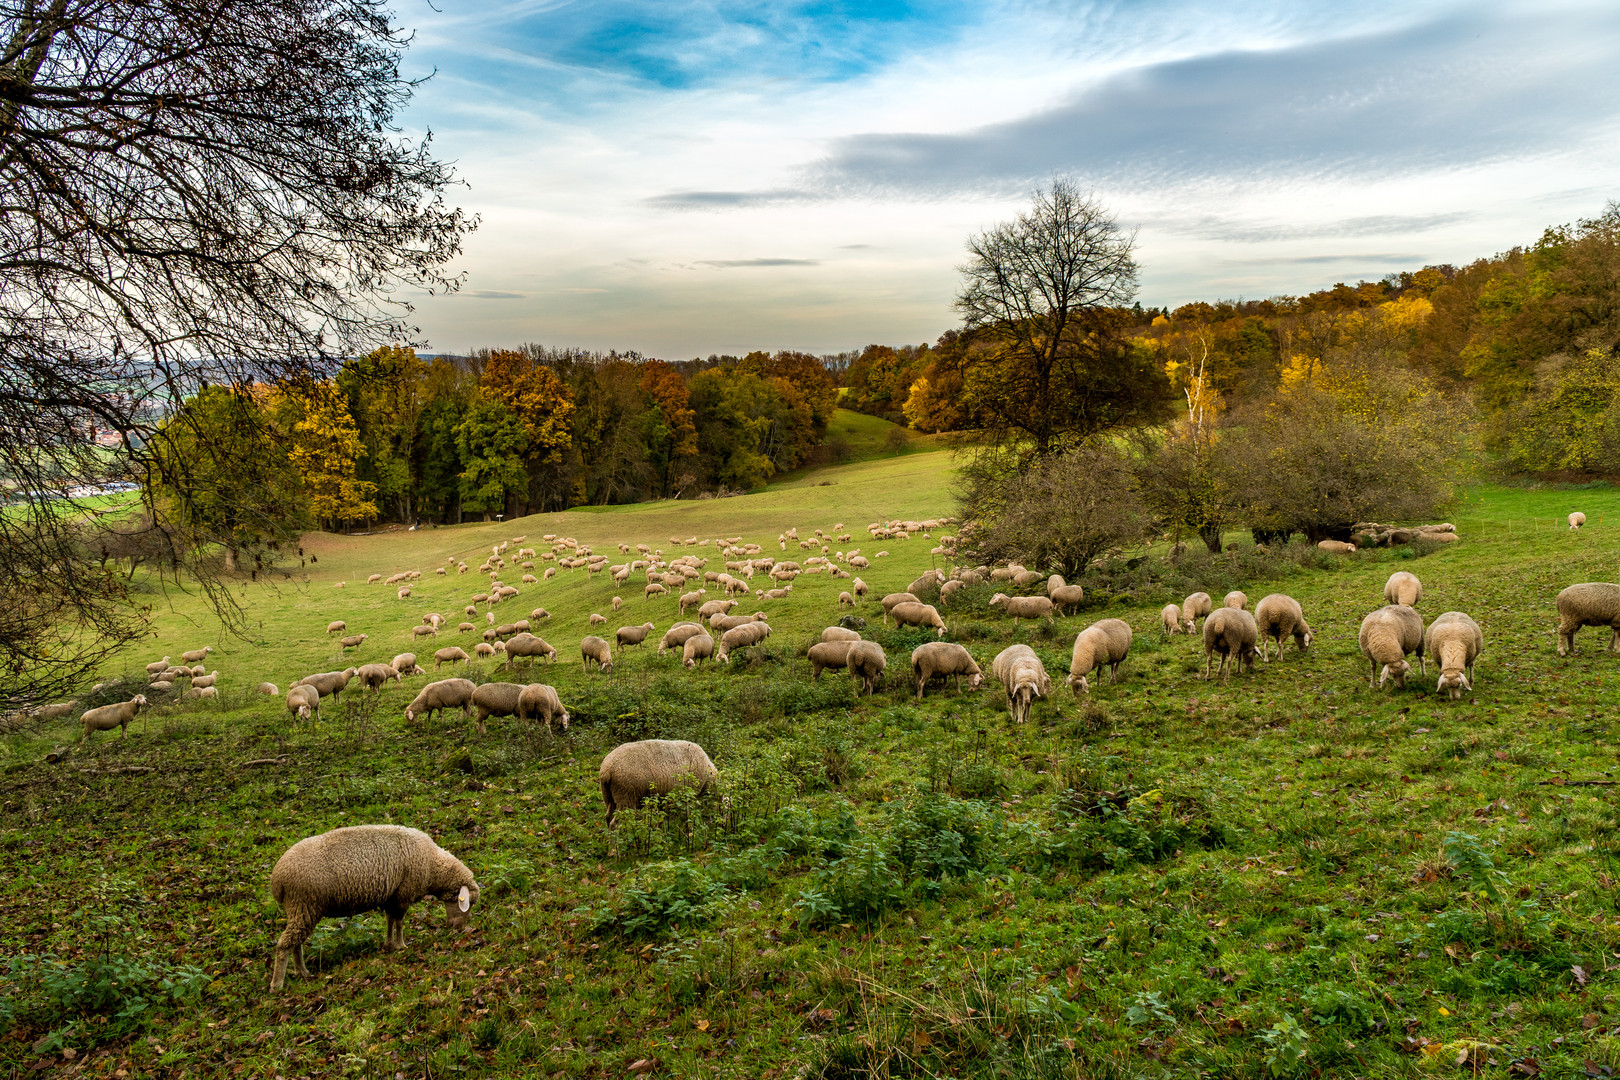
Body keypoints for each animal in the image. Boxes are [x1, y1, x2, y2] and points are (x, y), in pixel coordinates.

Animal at [265, 829, 476, 997]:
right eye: (468, 903)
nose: (458, 928)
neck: (433, 865)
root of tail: (277, 880)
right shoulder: (403, 895)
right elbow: (399, 922)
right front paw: (401, 945)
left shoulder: (392, 896)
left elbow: (390, 921)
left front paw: (389, 944)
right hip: (303, 904)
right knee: (284, 944)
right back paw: (277, 984)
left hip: (300, 909)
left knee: (295, 943)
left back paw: (303, 972)